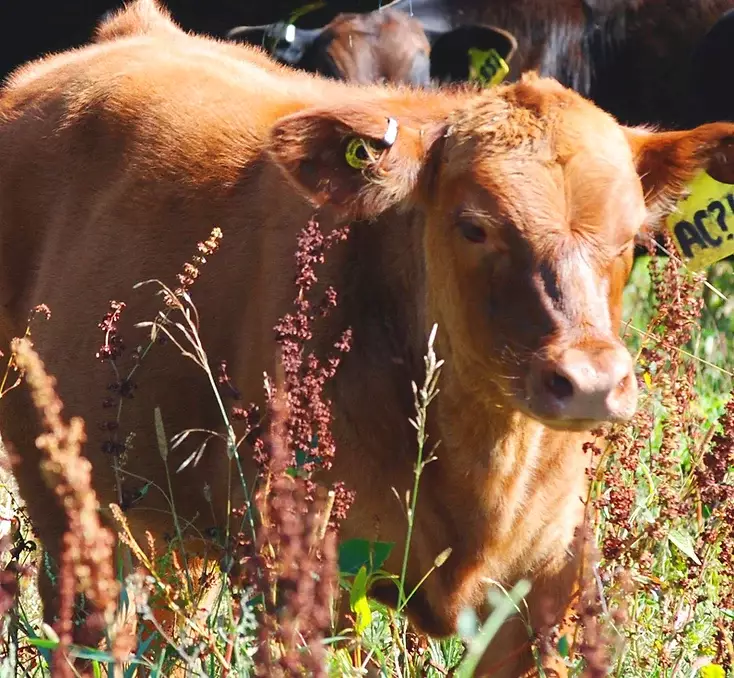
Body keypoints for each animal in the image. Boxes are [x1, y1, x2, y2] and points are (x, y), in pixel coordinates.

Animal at [4, 2, 734, 676]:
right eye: (475, 225)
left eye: (630, 236)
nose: (589, 382)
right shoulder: (304, 572)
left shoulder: (548, 595)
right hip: (67, 494)